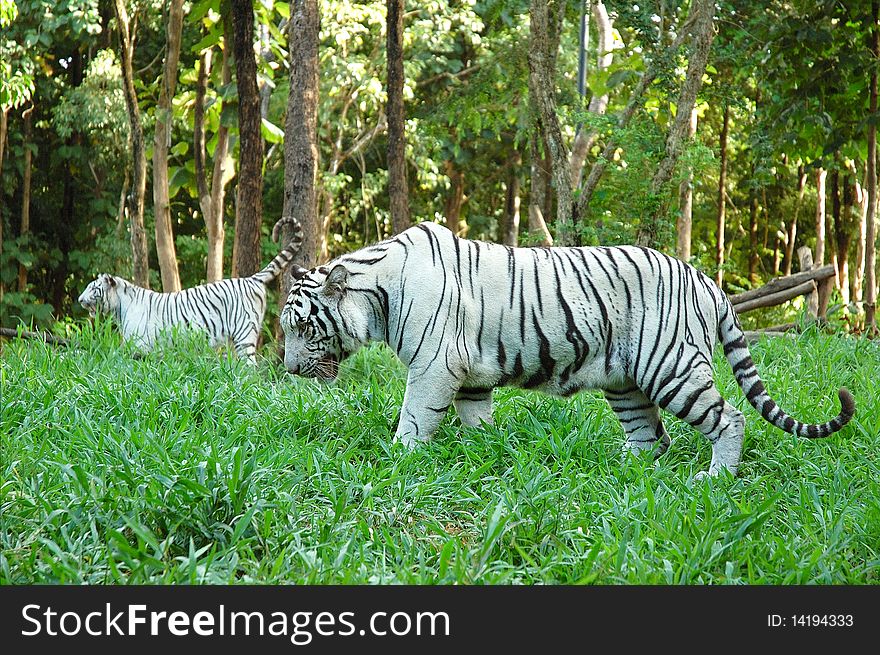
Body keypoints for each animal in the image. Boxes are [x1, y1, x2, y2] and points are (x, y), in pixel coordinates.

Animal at [81, 217, 304, 364]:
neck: (120, 308)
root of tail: (251, 279)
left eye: (93, 288)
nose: (79, 299)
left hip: (244, 333)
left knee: (250, 367)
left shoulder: (138, 343)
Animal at [280, 223, 852, 480]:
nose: (286, 367)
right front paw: (482, 451)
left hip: (671, 368)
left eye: (303, 327)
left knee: (730, 417)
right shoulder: (468, 376)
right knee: (653, 440)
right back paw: (613, 467)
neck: (376, 291)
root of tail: (706, 280)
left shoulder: (433, 367)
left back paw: (715, 478)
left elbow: (414, 418)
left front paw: (399, 457)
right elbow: (475, 418)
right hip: (626, 383)